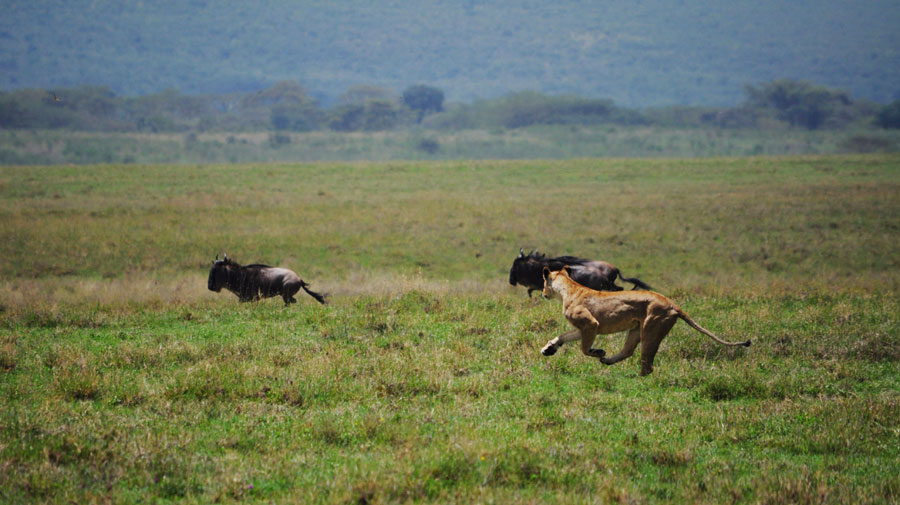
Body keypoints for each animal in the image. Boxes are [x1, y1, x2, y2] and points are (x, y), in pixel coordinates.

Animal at [540, 266, 750, 376]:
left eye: (543, 283)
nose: (542, 293)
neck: (568, 288)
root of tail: (673, 304)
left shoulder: (591, 324)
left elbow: (584, 348)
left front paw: (597, 351)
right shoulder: (582, 327)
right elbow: (563, 336)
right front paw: (549, 348)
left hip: (651, 328)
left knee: (647, 364)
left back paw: (636, 379)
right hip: (636, 330)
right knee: (628, 351)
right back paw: (609, 361)